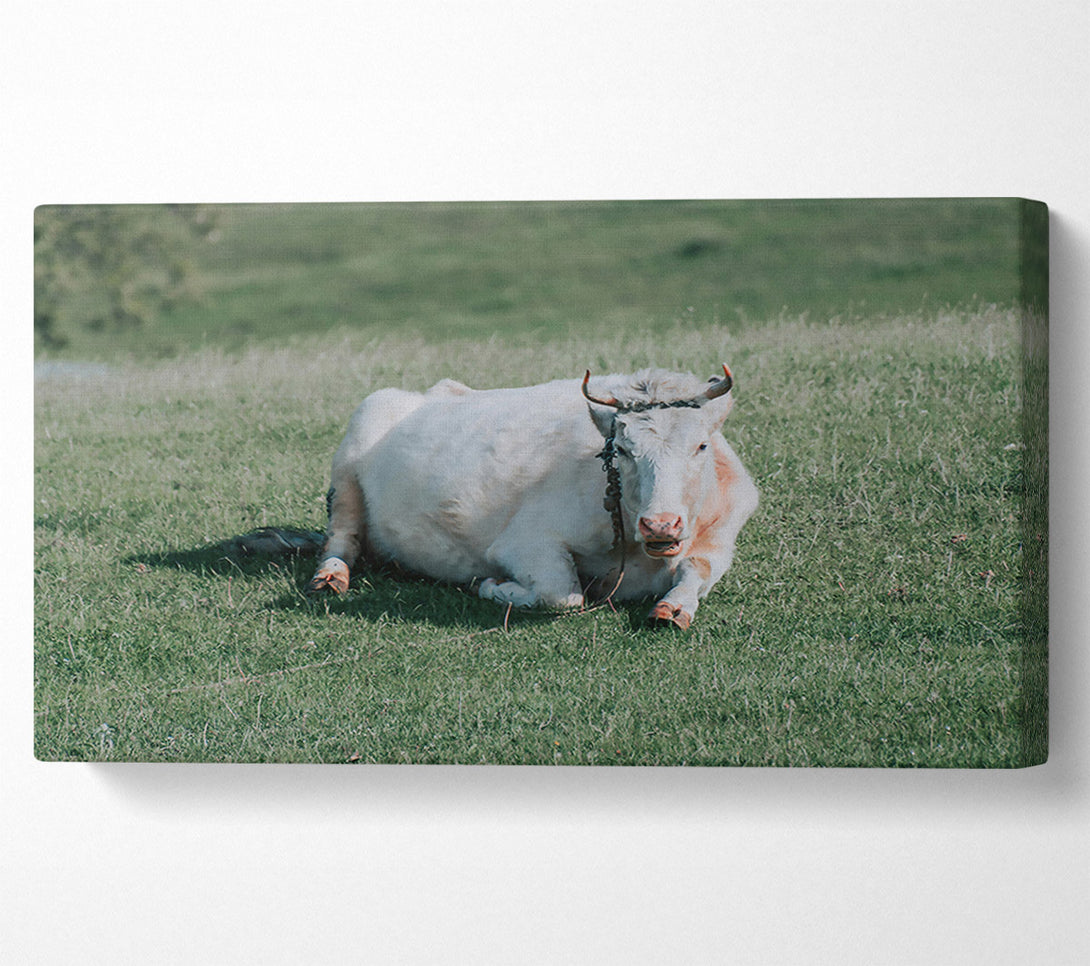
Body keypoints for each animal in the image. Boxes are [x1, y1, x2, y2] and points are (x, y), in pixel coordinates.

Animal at [305, 366, 758, 629]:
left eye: (701, 446)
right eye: (624, 450)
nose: (660, 524)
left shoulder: (722, 537)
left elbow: (697, 568)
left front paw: (674, 608)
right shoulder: (523, 542)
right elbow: (563, 594)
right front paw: (492, 586)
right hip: (349, 461)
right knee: (343, 538)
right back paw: (330, 577)